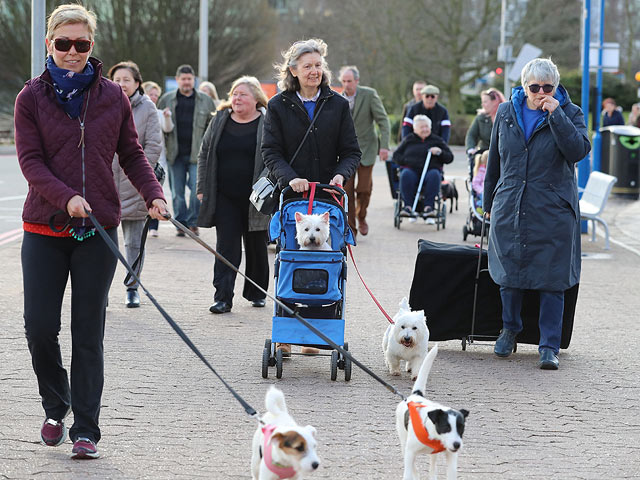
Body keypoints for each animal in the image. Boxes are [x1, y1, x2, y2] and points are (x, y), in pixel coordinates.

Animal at [396, 344, 470, 480]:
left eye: (461, 427)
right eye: (446, 427)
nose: (457, 444)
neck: (434, 435)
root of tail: (415, 395)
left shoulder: (451, 455)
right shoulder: (410, 452)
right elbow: (409, 470)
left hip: (432, 454)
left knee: (432, 465)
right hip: (403, 440)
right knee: (412, 464)